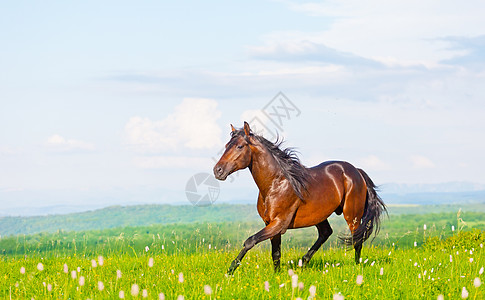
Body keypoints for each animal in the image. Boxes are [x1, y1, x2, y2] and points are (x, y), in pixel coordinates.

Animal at [212, 121, 386, 274]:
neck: (275, 184)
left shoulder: (279, 223)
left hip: (352, 214)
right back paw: (303, 262)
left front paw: (230, 270)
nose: (217, 170)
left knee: (357, 240)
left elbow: (250, 241)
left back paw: (357, 268)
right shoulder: (270, 223)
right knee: (326, 232)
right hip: (320, 215)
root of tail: (356, 171)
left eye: (240, 146)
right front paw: (277, 276)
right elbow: (276, 253)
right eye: (227, 146)